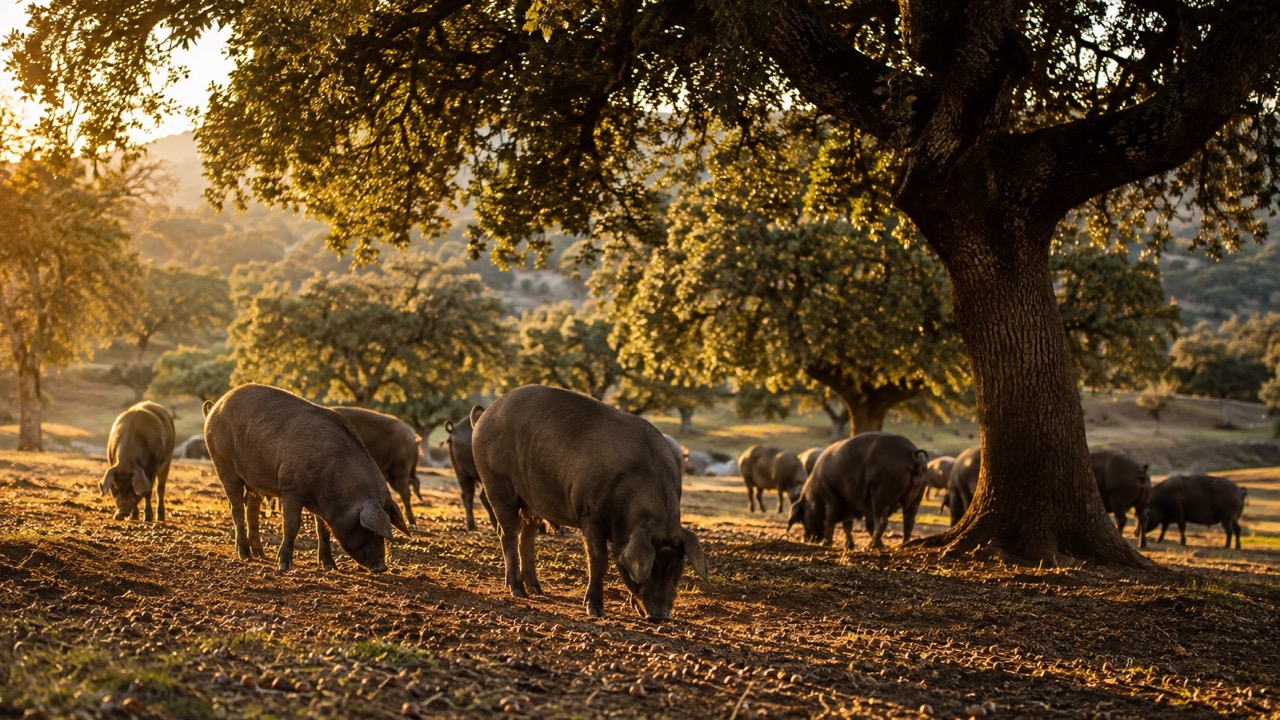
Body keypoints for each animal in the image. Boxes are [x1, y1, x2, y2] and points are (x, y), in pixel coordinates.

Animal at [202, 384, 409, 572]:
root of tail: (214, 407)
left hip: (254, 480)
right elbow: (292, 526)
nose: (382, 567)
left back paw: (260, 554)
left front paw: (330, 567)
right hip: (223, 463)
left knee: (251, 508)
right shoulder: (291, 489)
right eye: (368, 528)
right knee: (236, 507)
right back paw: (245, 556)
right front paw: (284, 566)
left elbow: (323, 530)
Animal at [470, 385, 709, 621]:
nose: (661, 617)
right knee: (508, 534)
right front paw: (594, 610)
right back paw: (517, 591)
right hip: (497, 483)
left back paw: (536, 590)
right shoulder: (590, 515)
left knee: (526, 538)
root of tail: (485, 414)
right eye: (651, 568)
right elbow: (599, 560)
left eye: (677, 569)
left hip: (533, 503)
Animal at [788, 432, 928, 549]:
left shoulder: (831, 497)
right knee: (909, 522)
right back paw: (903, 545)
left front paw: (826, 544)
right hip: (917, 496)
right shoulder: (851, 504)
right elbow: (850, 525)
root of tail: (913, 453)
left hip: (881, 496)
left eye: (802, 517)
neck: (814, 496)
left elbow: (830, 520)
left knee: (882, 521)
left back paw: (870, 546)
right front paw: (850, 546)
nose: (806, 539)